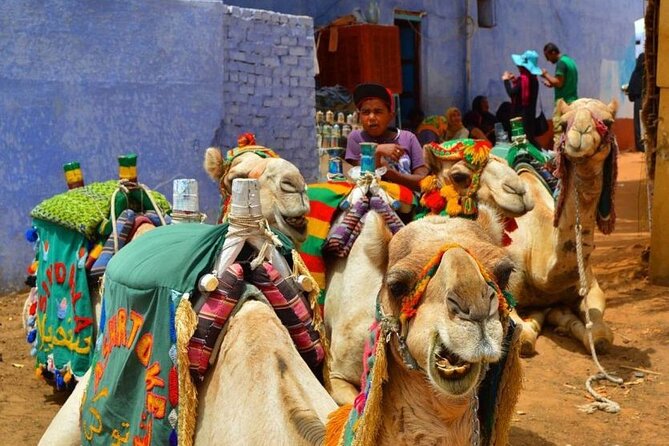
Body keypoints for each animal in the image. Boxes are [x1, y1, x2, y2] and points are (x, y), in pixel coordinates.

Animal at [506, 98, 619, 356]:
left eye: (608, 121)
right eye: (564, 123)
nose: (581, 134)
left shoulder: (592, 287)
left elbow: (600, 335)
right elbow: (521, 336)